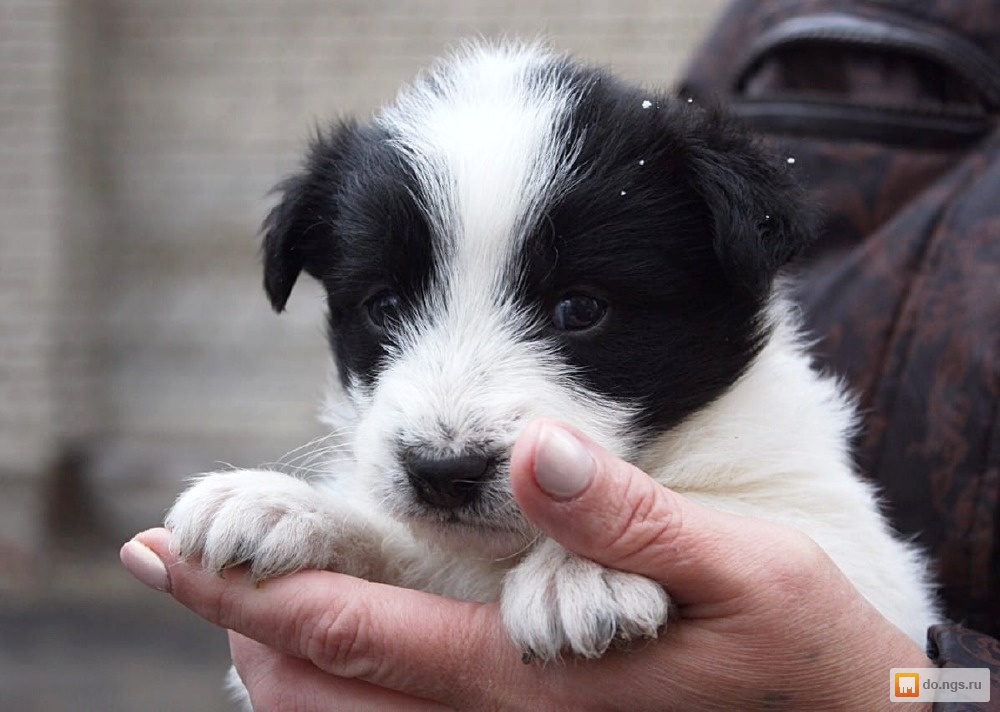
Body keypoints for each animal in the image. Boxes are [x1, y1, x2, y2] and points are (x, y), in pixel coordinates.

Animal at [164, 39, 936, 684]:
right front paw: (282, 504)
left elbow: (745, 511)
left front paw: (585, 571)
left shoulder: (860, 554)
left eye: (580, 308)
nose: (443, 472)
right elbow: (397, 538)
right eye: (383, 305)